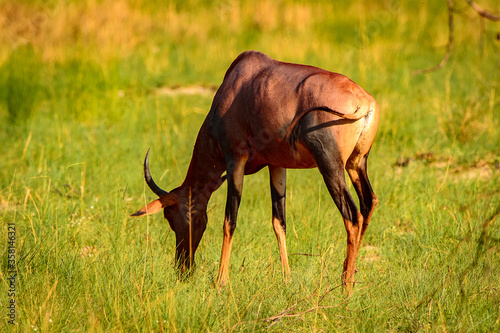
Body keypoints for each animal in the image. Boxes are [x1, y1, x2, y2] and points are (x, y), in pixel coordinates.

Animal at [131, 50, 380, 290]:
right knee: (369, 203)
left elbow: (229, 220)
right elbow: (279, 222)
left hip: (330, 165)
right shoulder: (277, 165)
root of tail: (363, 101)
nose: (183, 269)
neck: (237, 85)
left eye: (170, 216)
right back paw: (349, 274)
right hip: (356, 164)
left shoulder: (235, 160)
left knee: (353, 216)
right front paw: (287, 279)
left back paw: (346, 288)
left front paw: (220, 282)